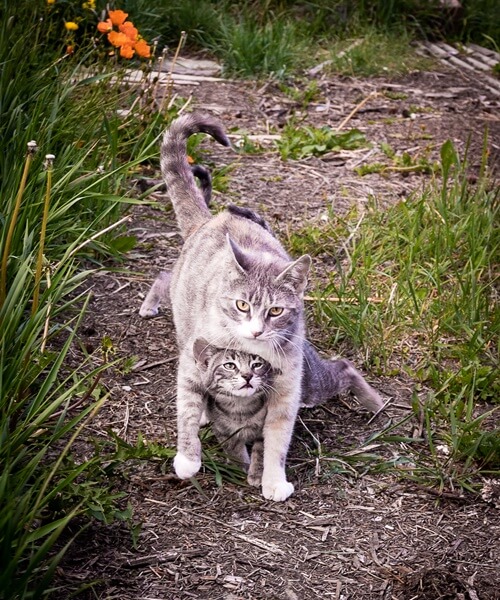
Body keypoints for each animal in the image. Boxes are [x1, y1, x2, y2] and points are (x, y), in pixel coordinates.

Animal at [160, 112, 310, 502]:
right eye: (242, 305)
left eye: (275, 311)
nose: (256, 330)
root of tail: (209, 219)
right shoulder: (195, 360)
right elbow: (187, 407)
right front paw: (188, 458)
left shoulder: (286, 386)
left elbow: (276, 438)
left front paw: (272, 479)